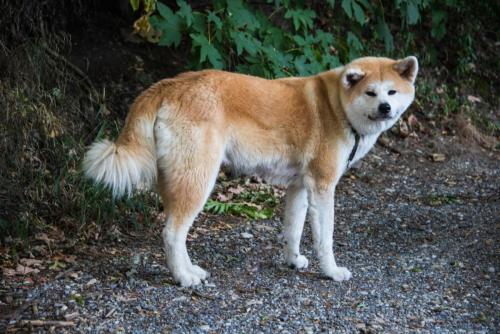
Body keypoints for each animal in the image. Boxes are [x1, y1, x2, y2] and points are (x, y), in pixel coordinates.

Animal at [83, 56, 418, 286]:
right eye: (371, 93)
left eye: (391, 92)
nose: (386, 108)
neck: (337, 106)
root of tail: (170, 84)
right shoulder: (322, 187)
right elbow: (325, 239)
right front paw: (332, 272)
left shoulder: (300, 187)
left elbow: (293, 231)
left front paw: (292, 260)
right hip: (198, 181)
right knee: (171, 234)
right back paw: (183, 278)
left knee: (176, 234)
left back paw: (192, 270)